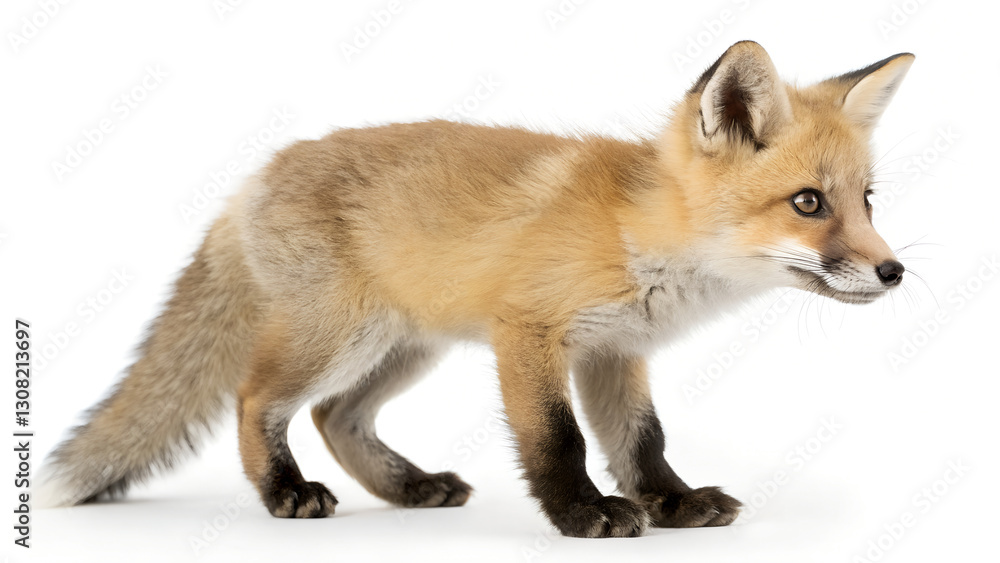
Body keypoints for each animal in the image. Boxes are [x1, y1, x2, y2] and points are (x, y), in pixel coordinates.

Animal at [38, 41, 913, 538]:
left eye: (867, 200)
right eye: (809, 203)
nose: (894, 271)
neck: (639, 231)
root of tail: (255, 176)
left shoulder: (616, 351)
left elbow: (642, 442)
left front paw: (672, 501)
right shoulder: (526, 334)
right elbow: (559, 439)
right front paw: (583, 513)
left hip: (404, 348)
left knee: (334, 416)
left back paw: (409, 485)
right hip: (338, 336)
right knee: (258, 399)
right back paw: (285, 491)